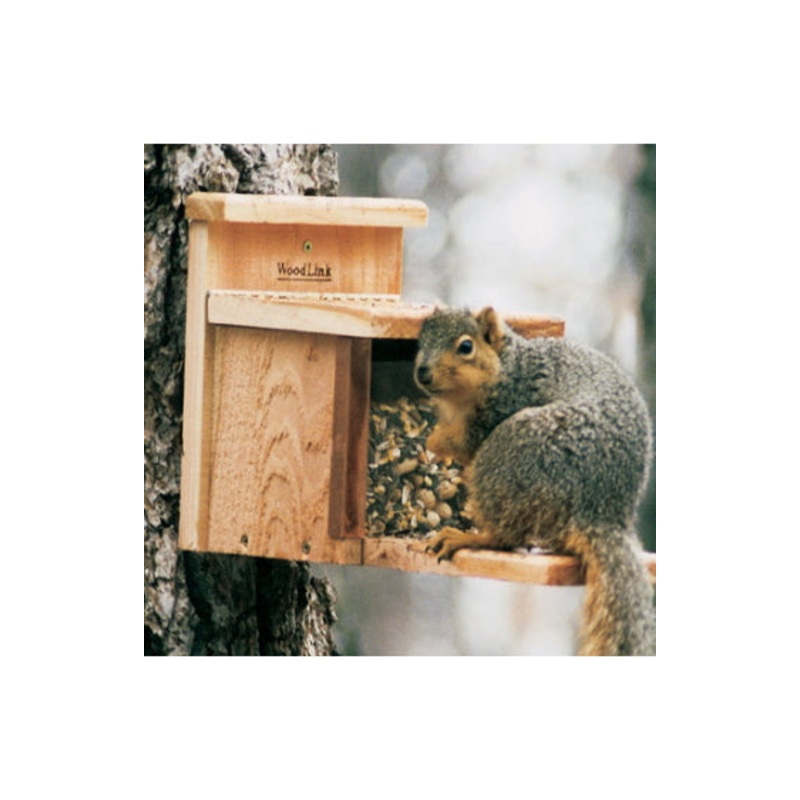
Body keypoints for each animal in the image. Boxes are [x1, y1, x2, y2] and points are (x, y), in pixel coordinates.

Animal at [414, 306, 656, 656]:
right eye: (420, 341)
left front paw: (434, 440)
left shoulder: (500, 407)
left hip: (510, 451)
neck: (508, 365)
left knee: (506, 537)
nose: (422, 373)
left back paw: (467, 538)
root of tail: (601, 509)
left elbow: (462, 442)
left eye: (465, 347)